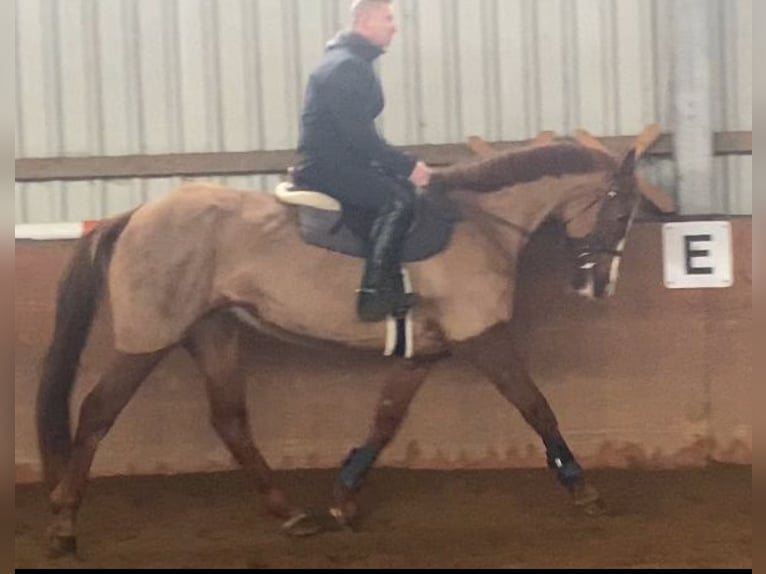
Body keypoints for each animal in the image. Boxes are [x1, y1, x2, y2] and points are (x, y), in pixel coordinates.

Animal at [35, 125, 674, 556]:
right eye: (621, 210)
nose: (597, 285)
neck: (479, 223)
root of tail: (134, 215)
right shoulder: (481, 336)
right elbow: (536, 406)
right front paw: (583, 490)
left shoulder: (424, 350)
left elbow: (385, 419)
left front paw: (344, 498)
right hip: (148, 339)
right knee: (97, 413)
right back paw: (63, 526)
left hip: (213, 332)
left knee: (230, 421)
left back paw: (291, 514)